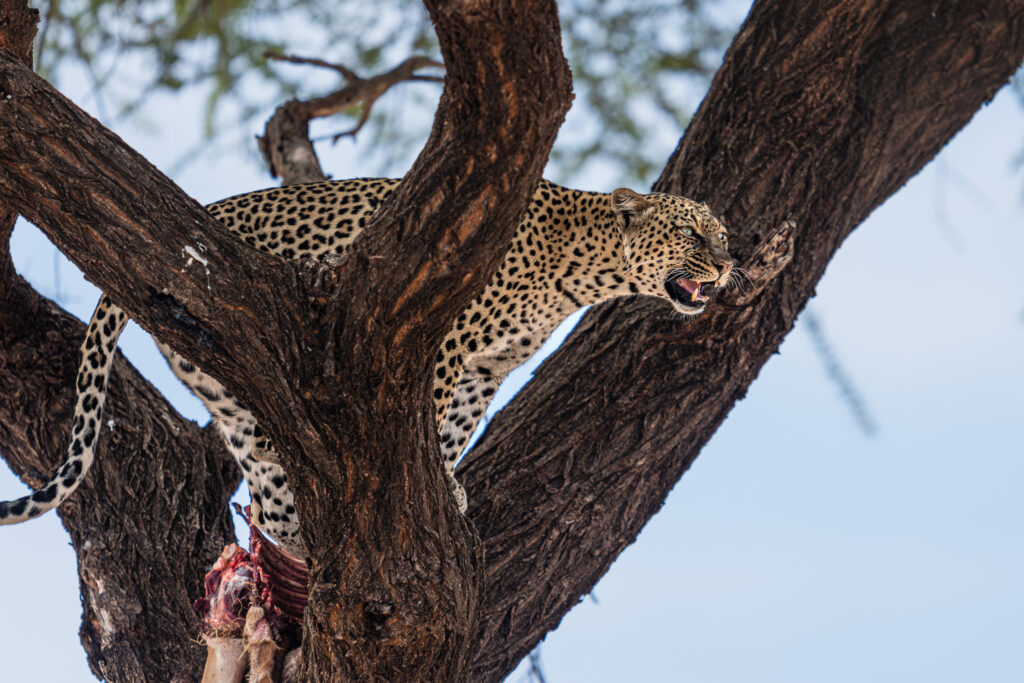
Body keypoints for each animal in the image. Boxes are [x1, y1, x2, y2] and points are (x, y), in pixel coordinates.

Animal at [0, 178, 733, 556]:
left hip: (231, 393)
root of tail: (211, 210)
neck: (584, 270)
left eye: (721, 235)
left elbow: (453, 428)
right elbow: (429, 415)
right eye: (692, 234)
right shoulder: (444, 342)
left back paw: (295, 538)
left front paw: (444, 487)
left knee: (264, 486)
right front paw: (438, 488)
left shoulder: (485, 369)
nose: (730, 265)